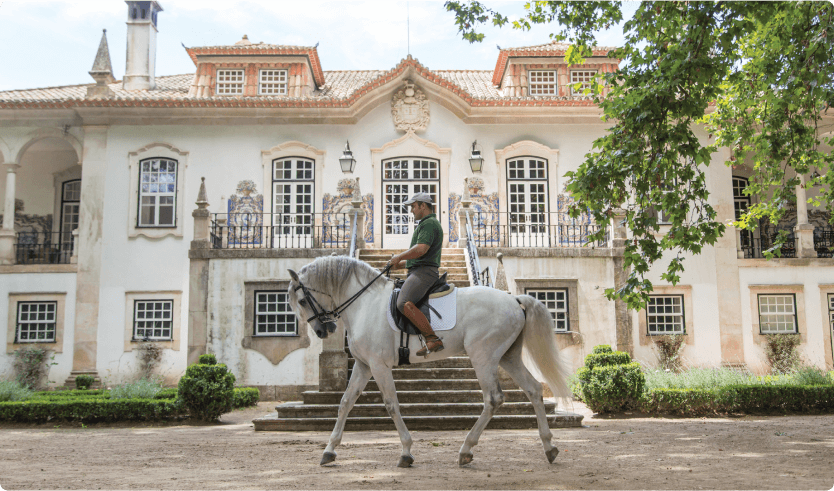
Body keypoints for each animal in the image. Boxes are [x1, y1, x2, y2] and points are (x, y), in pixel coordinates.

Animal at [284, 258, 564, 468]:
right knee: (533, 389)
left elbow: (391, 405)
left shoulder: (379, 366)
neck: (365, 303)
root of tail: (514, 300)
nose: (324, 330)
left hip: (483, 357)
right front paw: (329, 450)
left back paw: (466, 449)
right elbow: (345, 403)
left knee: (493, 398)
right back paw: (549, 446)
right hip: (508, 357)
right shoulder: (364, 366)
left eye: (302, 301)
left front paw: (406, 452)